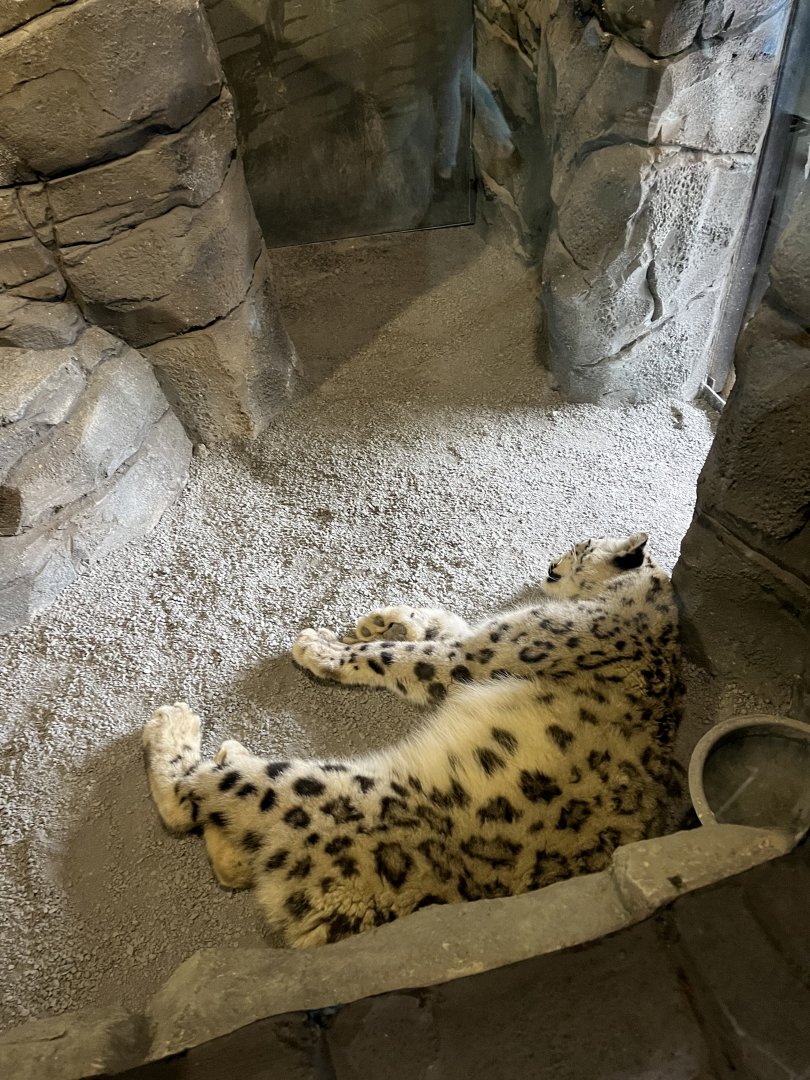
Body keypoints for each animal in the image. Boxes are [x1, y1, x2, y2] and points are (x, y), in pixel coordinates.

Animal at [143, 532, 683, 949]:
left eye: (581, 547)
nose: (550, 565)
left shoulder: (481, 655)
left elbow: (399, 655)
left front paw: (321, 646)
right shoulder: (480, 641)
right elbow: (444, 626)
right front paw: (386, 618)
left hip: (313, 788)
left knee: (192, 799)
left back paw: (179, 726)